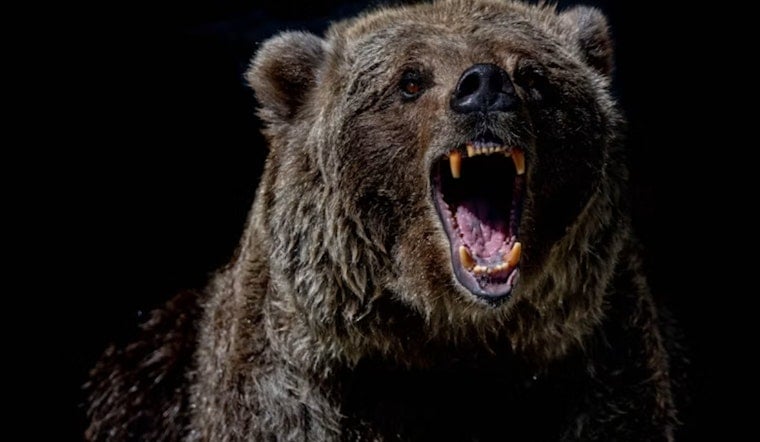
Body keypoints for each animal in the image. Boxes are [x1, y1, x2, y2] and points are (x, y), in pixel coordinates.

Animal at [85, 0, 681, 440]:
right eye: (410, 80)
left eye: (533, 76)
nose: (485, 85)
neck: (447, 338)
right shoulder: (295, 390)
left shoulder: (594, 368)